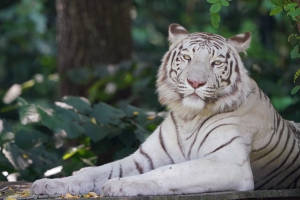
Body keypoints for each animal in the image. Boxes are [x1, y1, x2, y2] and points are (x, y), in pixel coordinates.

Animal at [29, 23, 300, 197]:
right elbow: (98, 171)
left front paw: (120, 185)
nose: (195, 83)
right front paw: (49, 184)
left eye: (216, 63)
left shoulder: (229, 162)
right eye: (187, 58)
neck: (189, 116)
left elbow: (171, 171)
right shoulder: (143, 157)